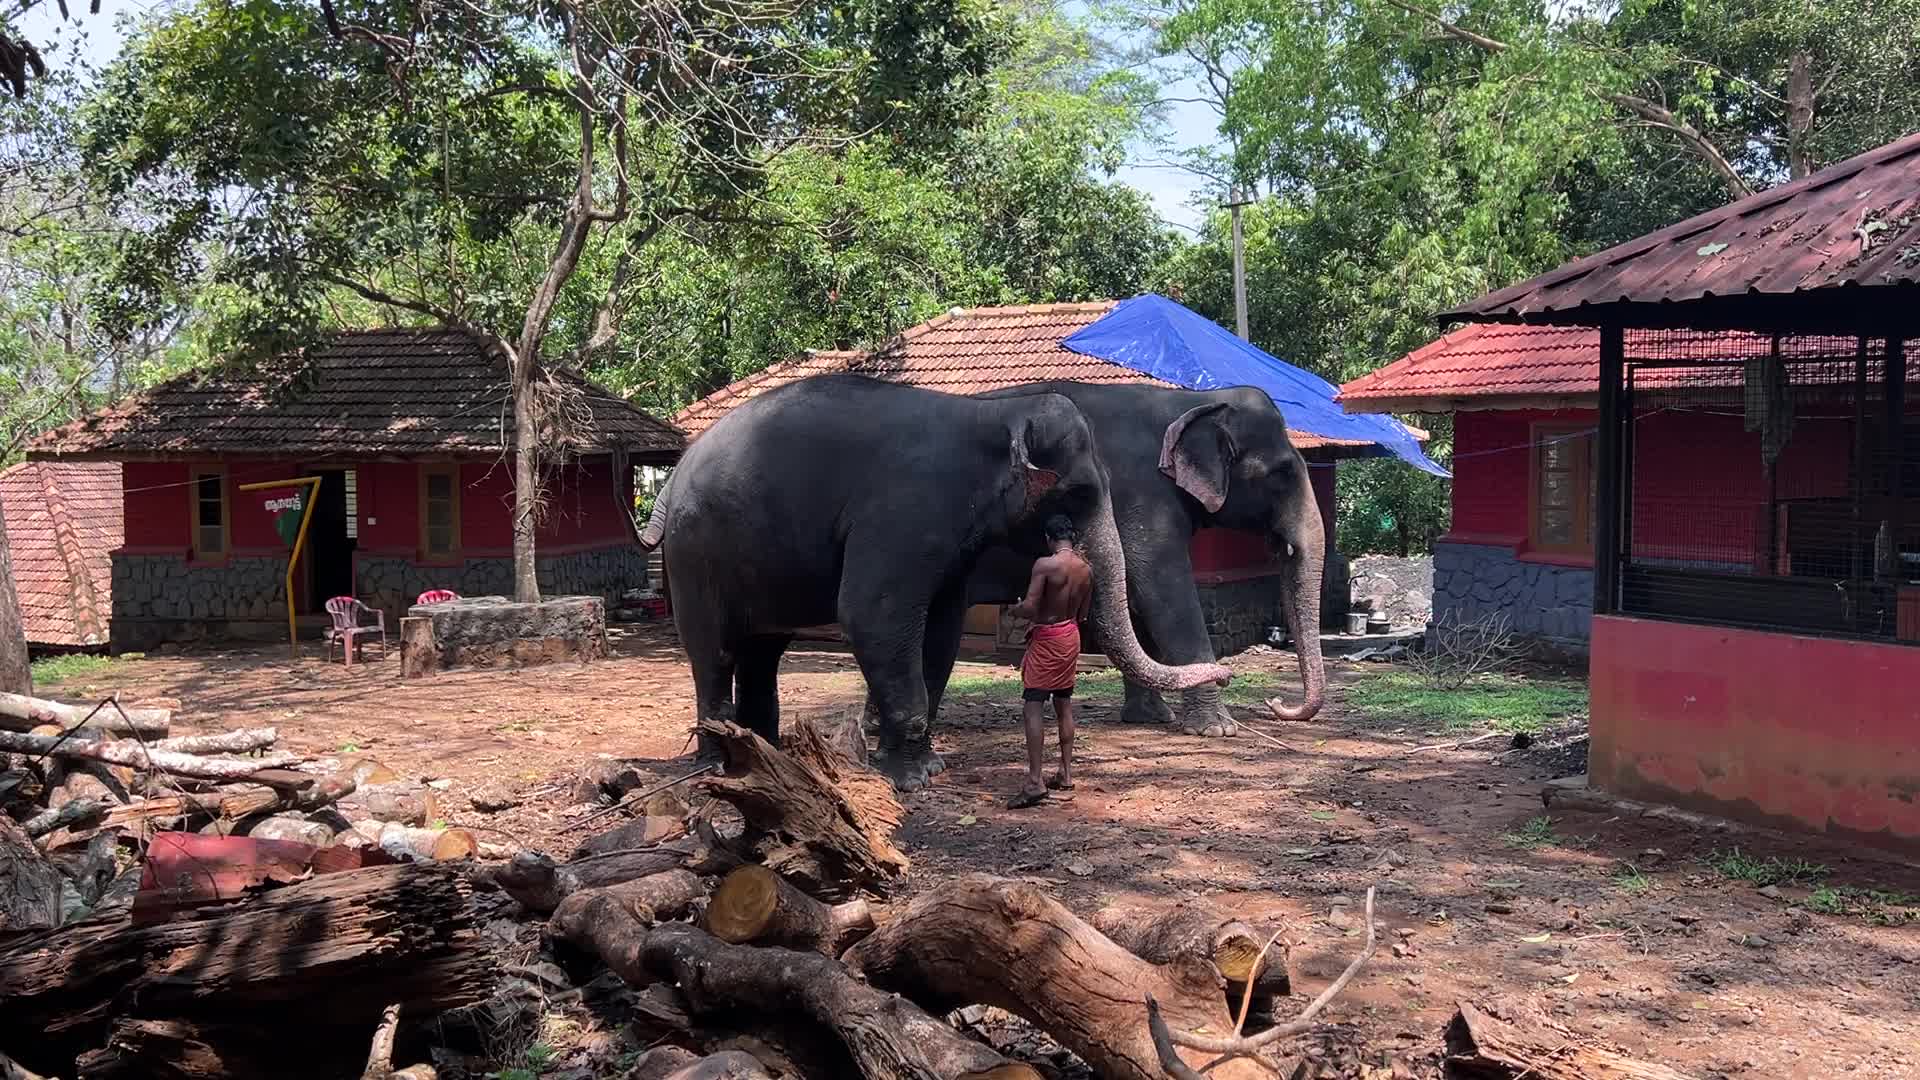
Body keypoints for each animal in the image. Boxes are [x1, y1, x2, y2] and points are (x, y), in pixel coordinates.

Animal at [644, 374, 1232, 791]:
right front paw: (911, 780)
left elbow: (943, 626)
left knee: (764, 649)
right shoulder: (903, 510)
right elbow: (873, 613)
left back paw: (764, 752)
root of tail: (673, 475)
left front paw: (928, 765)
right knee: (715, 650)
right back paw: (719, 763)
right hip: (694, 555)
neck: (990, 415)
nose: (1226, 673)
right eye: (1079, 494)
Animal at [960, 382, 1327, 736]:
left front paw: (1152, 717)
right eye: (1282, 474)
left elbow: (1138, 596)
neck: (1191, 401)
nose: (1276, 703)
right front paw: (1217, 729)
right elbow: (1164, 590)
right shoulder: (1143, 497)